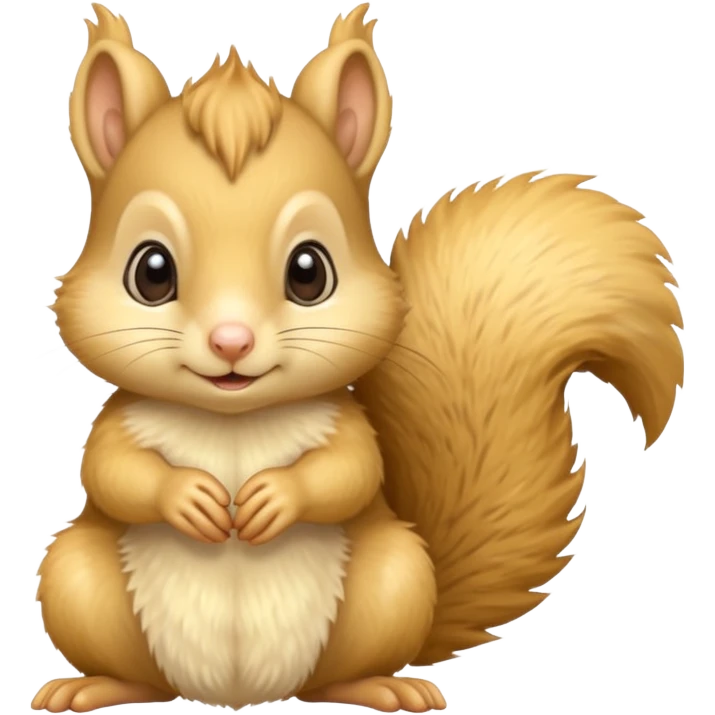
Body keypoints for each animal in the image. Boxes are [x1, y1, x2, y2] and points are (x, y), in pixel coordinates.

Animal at [33, 3, 685, 714]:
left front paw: (274, 498)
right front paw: (189, 497)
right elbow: (111, 471)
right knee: (132, 664)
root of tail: (238, 693)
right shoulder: (116, 424)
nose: (231, 341)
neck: (234, 421)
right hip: (75, 581)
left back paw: (381, 686)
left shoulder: (347, 429)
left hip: (392, 580)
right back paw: (95, 684)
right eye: (151, 272)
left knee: (343, 670)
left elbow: (349, 472)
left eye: (309, 272)